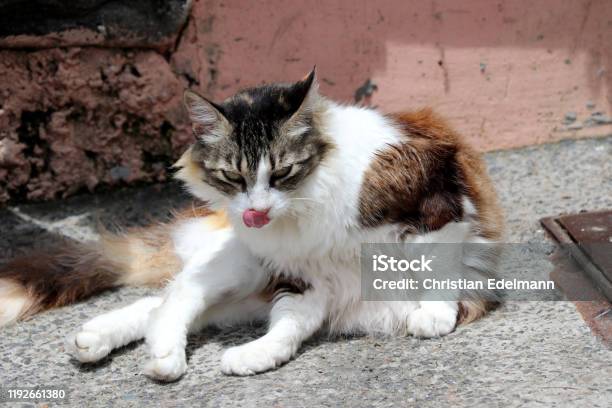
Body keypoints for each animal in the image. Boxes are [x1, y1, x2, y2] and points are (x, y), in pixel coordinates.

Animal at [0, 69, 502, 380]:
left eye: (282, 172)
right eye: (233, 176)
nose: (255, 211)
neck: (309, 200)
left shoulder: (439, 203)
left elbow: (435, 266)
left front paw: (435, 314)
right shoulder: (304, 275)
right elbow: (289, 323)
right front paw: (258, 354)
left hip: (245, 290)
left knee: (158, 304)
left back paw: (99, 340)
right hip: (241, 264)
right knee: (175, 298)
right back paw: (161, 357)